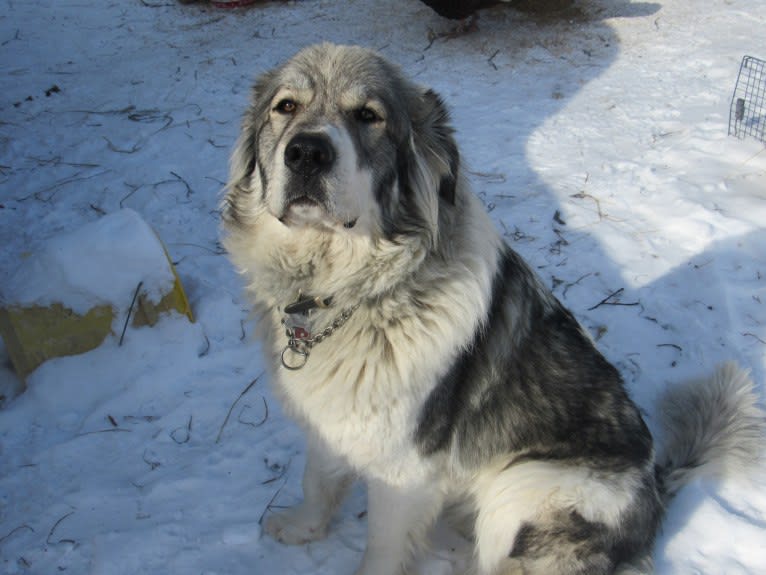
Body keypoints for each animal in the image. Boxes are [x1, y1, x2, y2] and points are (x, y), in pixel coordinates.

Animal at [222, 42, 766, 572]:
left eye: (368, 116)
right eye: (286, 107)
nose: (307, 152)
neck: (346, 294)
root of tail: (654, 488)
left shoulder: (404, 472)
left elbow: (380, 549)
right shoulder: (331, 420)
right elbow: (318, 479)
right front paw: (302, 528)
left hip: (522, 486)